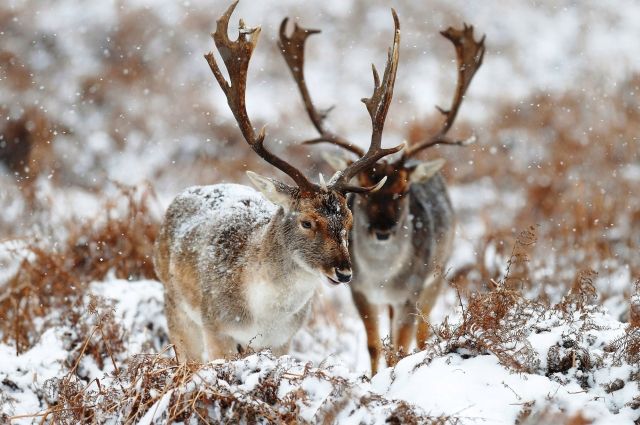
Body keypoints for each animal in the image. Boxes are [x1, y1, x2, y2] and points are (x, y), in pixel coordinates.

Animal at [154, 0, 404, 362]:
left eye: (349, 219)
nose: (344, 272)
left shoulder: (285, 339)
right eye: (306, 221)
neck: (262, 315)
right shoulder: (217, 328)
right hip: (175, 307)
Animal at [280, 18, 484, 372]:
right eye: (364, 193)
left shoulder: (412, 291)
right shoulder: (359, 291)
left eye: (403, 190)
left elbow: (399, 347)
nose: (383, 229)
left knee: (422, 333)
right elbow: (375, 345)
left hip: (437, 274)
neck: (382, 278)